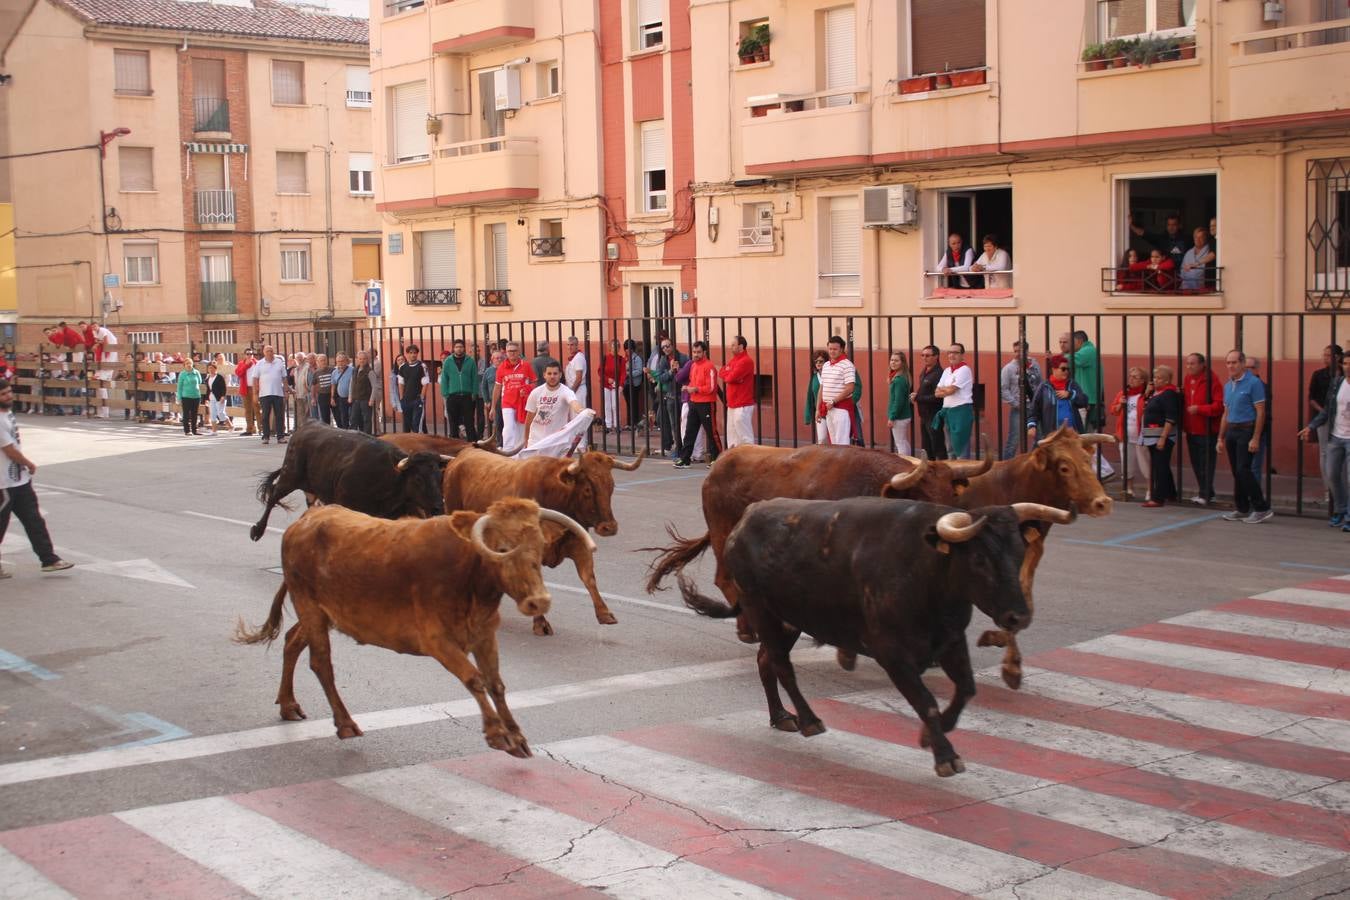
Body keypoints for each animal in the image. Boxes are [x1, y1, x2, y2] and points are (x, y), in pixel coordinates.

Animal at [234, 496, 594, 755]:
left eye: (539, 547)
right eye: (502, 548)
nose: (538, 601)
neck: (469, 577)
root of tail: (306, 519)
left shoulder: (484, 635)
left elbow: (496, 684)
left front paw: (516, 737)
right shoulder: (437, 640)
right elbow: (475, 679)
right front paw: (497, 735)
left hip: (321, 615)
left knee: (293, 641)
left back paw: (289, 705)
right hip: (309, 607)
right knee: (321, 663)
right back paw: (345, 723)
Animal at [251, 423, 445, 542]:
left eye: (439, 477)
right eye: (418, 478)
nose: (438, 507)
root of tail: (307, 425)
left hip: (309, 488)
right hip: (290, 475)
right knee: (274, 496)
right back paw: (257, 531)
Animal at [440, 447, 645, 636]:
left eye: (611, 486)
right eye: (588, 489)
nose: (609, 527)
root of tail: (464, 453)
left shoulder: (578, 543)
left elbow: (589, 577)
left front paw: (605, 614)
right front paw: (540, 623)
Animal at [685, 496, 1074, 777]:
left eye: (1019, 552)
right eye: (979, 558)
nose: (1018, 616)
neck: (927, 569)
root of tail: (745, 519)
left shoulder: (951, 640)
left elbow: (966, 688)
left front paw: (934, 732)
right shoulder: (893, 654)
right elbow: (926, 702)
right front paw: (945, 755)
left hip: (788, 620)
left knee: (766, 659)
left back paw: (781, 716)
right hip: (761, 609)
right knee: (781, 665)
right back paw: (809, 720)